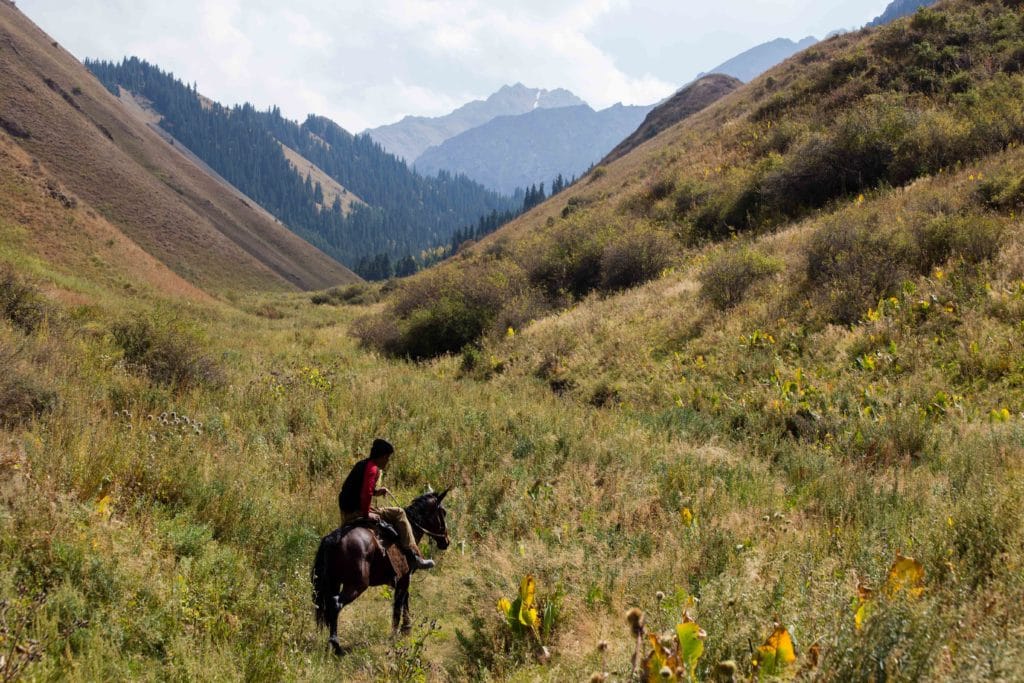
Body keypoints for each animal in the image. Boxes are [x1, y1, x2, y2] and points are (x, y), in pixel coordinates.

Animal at [309, 489, 450, 655]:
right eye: (443, 512)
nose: (446, 542)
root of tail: (333, 539)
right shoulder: (404, 579)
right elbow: (398, 606)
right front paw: (395, 635)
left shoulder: (401, 579)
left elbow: (404, 602)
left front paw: (406, 629)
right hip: (357, 585)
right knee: (336, 604)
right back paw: (337, 646)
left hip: (333, 583)